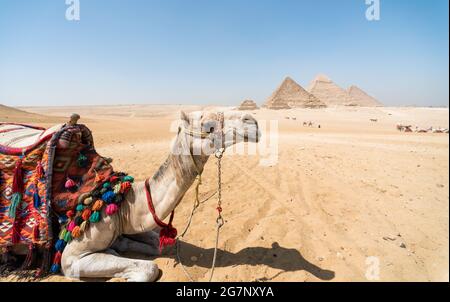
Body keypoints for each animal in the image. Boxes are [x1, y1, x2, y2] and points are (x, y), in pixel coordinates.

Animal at [6, 110, 260, 280]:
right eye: (208, 125)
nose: (253, 122)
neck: (120, 202)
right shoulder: (70, 259)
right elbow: (149, 268)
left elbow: (157, 244)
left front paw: (119, 246)